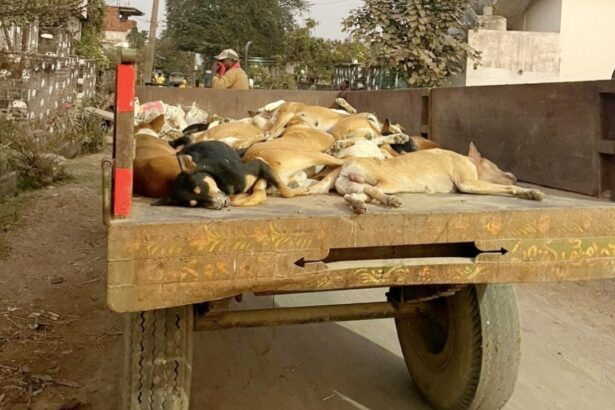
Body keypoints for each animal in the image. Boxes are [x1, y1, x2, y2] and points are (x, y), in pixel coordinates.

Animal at [333, 143, 544, 213]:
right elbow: (506, 188)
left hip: (356, 187)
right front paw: (529, 192)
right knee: (374, 189)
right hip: (389, 182)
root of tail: (346, 165)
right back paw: (390, 200)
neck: (469, 160)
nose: (514, 176)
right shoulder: (467, 183)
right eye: (495, 165)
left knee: (355, 195)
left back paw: (358, 204)